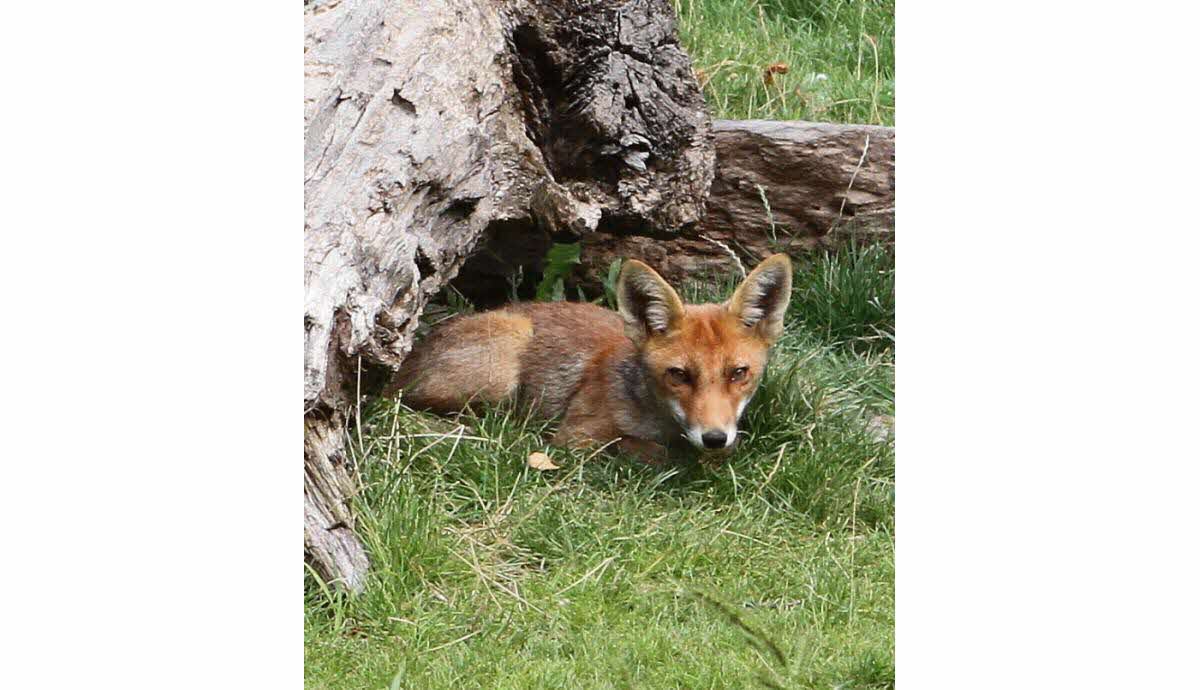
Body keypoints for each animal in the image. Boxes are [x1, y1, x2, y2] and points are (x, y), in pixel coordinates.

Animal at [392, 253, 793, 463]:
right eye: (678, 374)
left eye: (738, 373)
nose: (714, 438)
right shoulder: (577, 435)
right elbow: (655, 451)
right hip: (503, 364)